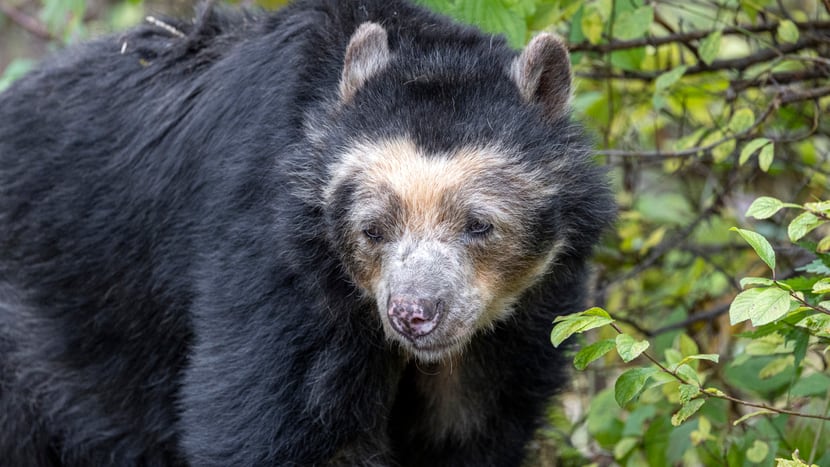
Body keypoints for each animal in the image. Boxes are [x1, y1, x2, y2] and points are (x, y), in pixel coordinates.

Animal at [1, 1, 616, 466]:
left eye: (479, 224)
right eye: (372, 229)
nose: (413, 314)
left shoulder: (522, 319)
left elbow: (473, 431)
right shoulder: (276, 258)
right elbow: (267, 421)